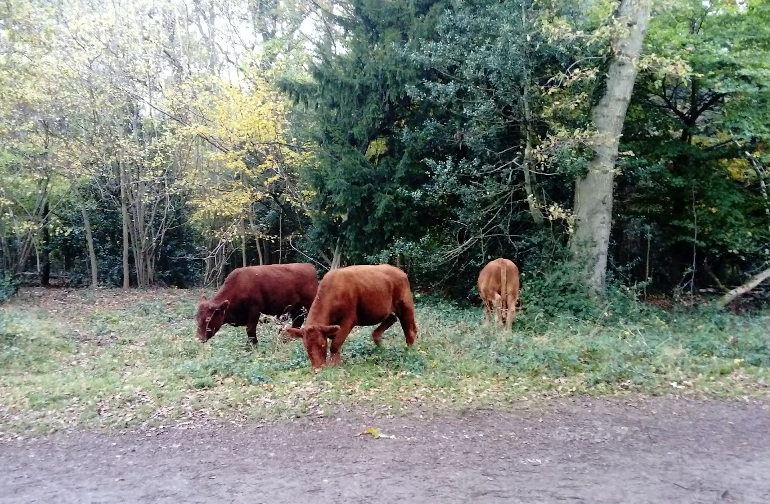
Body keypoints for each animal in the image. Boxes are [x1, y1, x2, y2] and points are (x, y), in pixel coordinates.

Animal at [284, 264, 418, 369]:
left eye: (322, 345)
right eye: (306, 347)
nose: (318, 368)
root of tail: (399, 271)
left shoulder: (349, 319)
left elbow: (335, 344)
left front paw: (335, 364)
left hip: (405, 305)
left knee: (410, 330)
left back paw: (409, 351)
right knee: (391, 320)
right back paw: (381, 347)